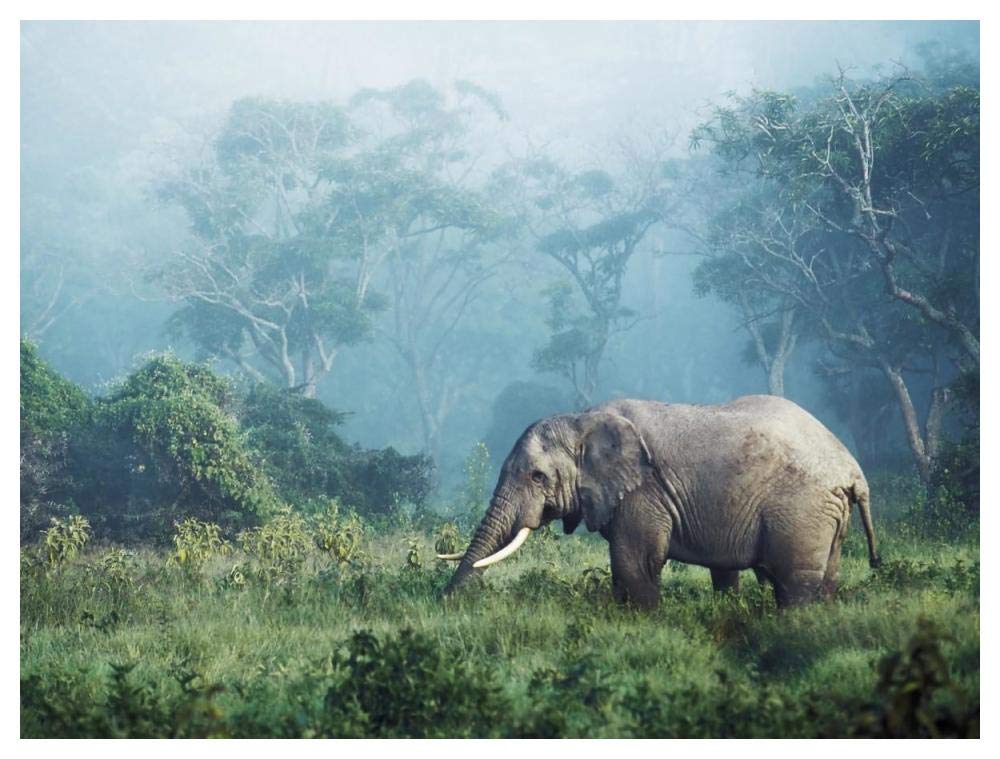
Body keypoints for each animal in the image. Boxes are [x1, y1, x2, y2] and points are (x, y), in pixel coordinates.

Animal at [439, 395, 879, 608]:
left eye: (537, 477)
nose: (445, 600)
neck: (582, 419)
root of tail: (853, 470)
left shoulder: (644, 492)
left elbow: (635, 562)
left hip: (802, 509)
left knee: (793, 583)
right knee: (824, 580)